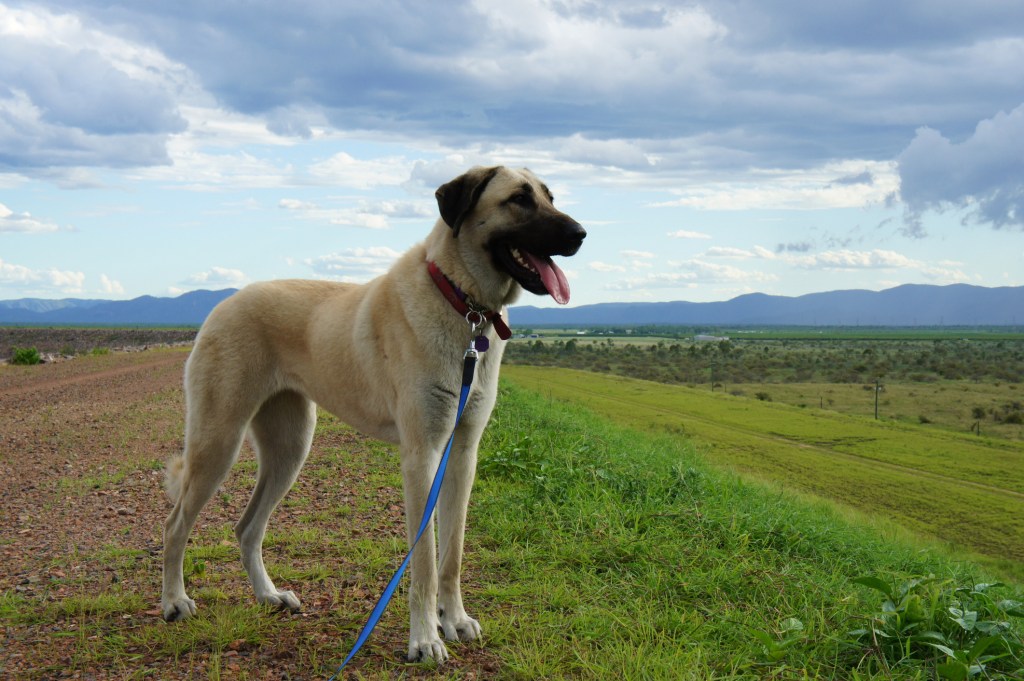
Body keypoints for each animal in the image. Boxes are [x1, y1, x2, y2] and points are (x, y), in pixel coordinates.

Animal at [159, 166, 585, 659]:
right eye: (519, 198)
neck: (462, 302)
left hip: (290, 447)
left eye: (550, 196)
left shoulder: (462, 455)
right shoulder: (422, 457)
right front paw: (425, 638)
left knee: (247, 528)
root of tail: (223, 304)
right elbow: (424, 562)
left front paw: (454, 620)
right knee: (175, 525)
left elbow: (452, 554)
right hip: (219, 440)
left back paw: (268, 595)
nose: (581, 234)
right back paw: (174, 602)